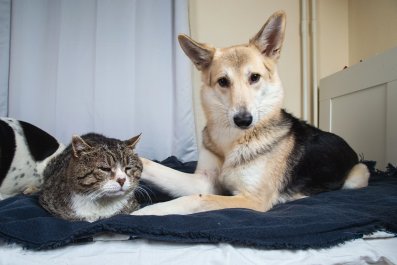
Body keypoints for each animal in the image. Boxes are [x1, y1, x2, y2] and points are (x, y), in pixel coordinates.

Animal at [132, 11, 368, 216]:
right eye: (223, 81)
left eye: (254, 77)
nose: (243, 120)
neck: (232, 141)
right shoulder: (204, 182)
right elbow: (156, 167)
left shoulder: (251, 199)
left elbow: (197, 199)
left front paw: (148, 211)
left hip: (358, 175)